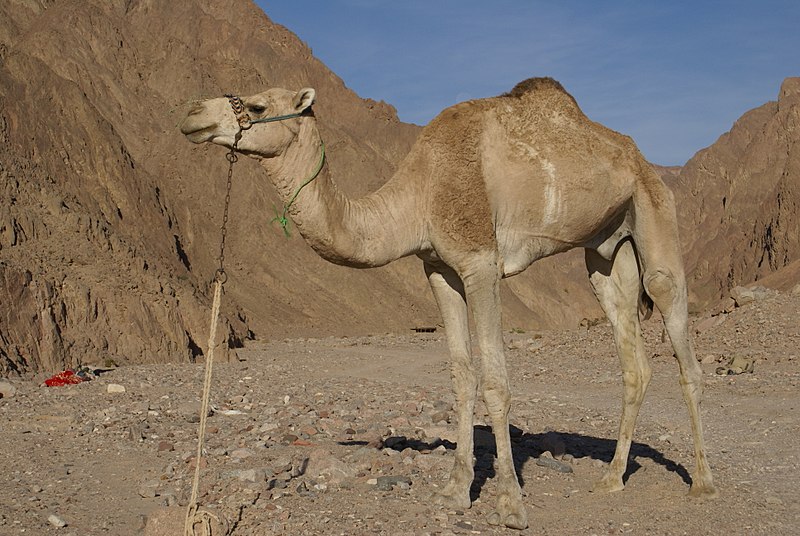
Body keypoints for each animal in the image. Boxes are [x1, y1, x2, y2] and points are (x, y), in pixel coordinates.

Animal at [180, 77, 717, 529]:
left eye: (257, 106)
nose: (192, 114)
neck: (419, 194)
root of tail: (642, 159)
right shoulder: (439, 270)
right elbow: (461, 375)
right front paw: (455, 492)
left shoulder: (481, 263)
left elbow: (496, 381)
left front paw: (510, 505)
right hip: (606, 250)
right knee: (632, 355)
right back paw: (610, 478)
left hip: (654, 211)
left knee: (679, 334)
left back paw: (704, 483)